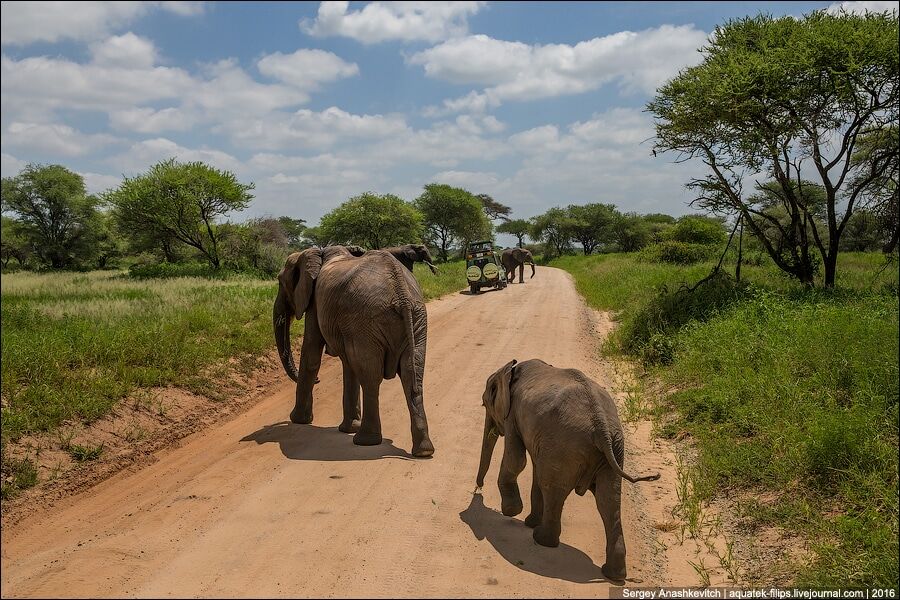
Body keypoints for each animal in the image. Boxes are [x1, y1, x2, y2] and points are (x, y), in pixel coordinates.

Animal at [272, 246, 434, 458]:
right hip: (415, 319)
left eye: (280, 282)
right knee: (412, 374)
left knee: (371, 378)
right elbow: (349, 365)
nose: (319, 381)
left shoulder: (316, 303)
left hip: (367, 321)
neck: (318, 252)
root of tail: (401, 294)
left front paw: (298, 420)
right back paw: (423, 450)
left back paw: (365, 441)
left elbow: (311, 355)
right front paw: (347, 428)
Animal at [474, 356, 656, 580]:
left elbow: (517, 460)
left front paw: (511, 512)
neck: (511, 368)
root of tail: (602, 426)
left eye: (484, 404)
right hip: (613, 449)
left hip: (565, 445)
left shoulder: (513, 415)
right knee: (608, 500)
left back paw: (542, 539)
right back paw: (613, 574)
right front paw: (527, 520)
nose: (478, 488)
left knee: (554, 489)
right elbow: (533, 469)